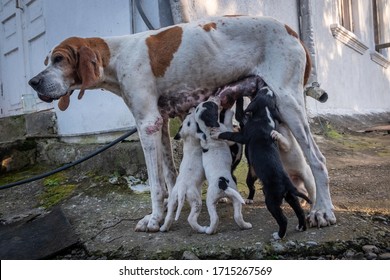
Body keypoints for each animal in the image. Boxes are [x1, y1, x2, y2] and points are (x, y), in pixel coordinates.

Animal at [193, 97, 251, 235]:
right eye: (212, 105)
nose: (214, 97)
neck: (207, 128)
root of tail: (222, 183)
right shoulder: (226, 131)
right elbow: (228, 126)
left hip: (222, 199)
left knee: (228, 217)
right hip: (222, 199)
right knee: (225, 217)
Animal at [213, 87, 310, 238]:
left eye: (261, 93)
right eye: (271, 96)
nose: (266, 87)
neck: (265, 115)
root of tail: (287, 184)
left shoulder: (243, 134)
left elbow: (230, 132)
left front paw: (216, 134)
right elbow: (240, 110)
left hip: (271, 200)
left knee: (283, 218)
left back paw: (279, 235)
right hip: (288, 195)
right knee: (299, 210)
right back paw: (301, 227)